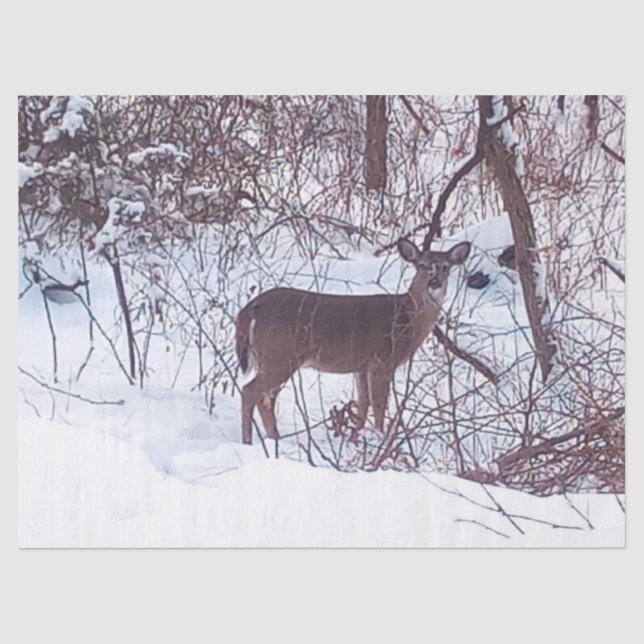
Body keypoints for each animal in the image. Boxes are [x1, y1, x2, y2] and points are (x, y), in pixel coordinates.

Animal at [235, 238, 471, 445]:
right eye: (422, 265)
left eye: (446, 267)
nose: (434, 283)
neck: (406, 318)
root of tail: (249, 309)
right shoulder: (382, 360)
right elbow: (379, 404)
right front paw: (379, 438)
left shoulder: (361, 366)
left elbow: (363, 403)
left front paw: (355, 438)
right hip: (279, 355)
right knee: (251, 391)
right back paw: (248, 441)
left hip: (274, 357)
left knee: (265, 399)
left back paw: (275, 438)